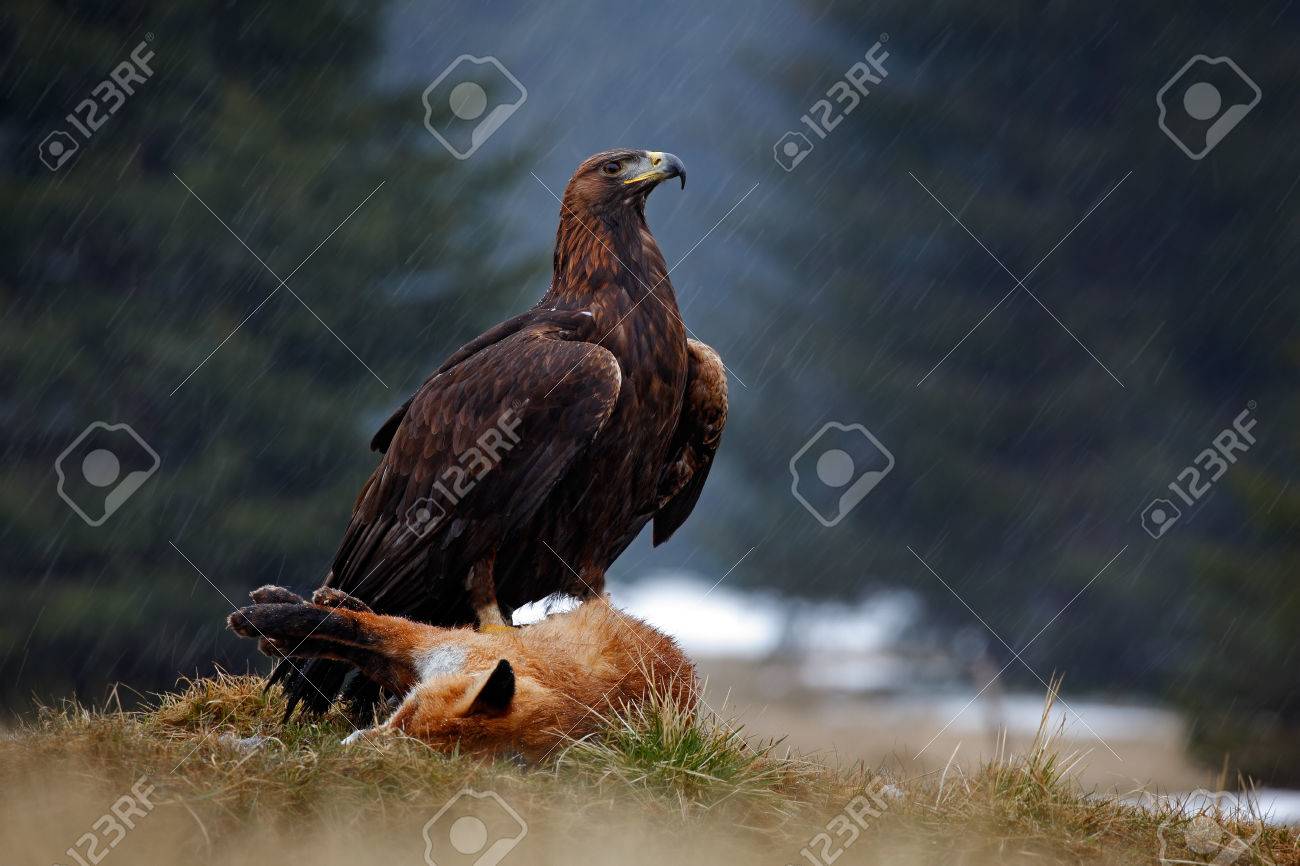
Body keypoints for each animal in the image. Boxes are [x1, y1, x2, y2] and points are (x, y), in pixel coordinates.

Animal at [227, 585, 696, 759]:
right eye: (405, 716)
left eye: (408, 738)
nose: (351, 748)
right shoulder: (435, 649)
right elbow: (351, 626)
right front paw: (263, 618)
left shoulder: (427, 657)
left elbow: (354, 635)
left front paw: (271, 626)